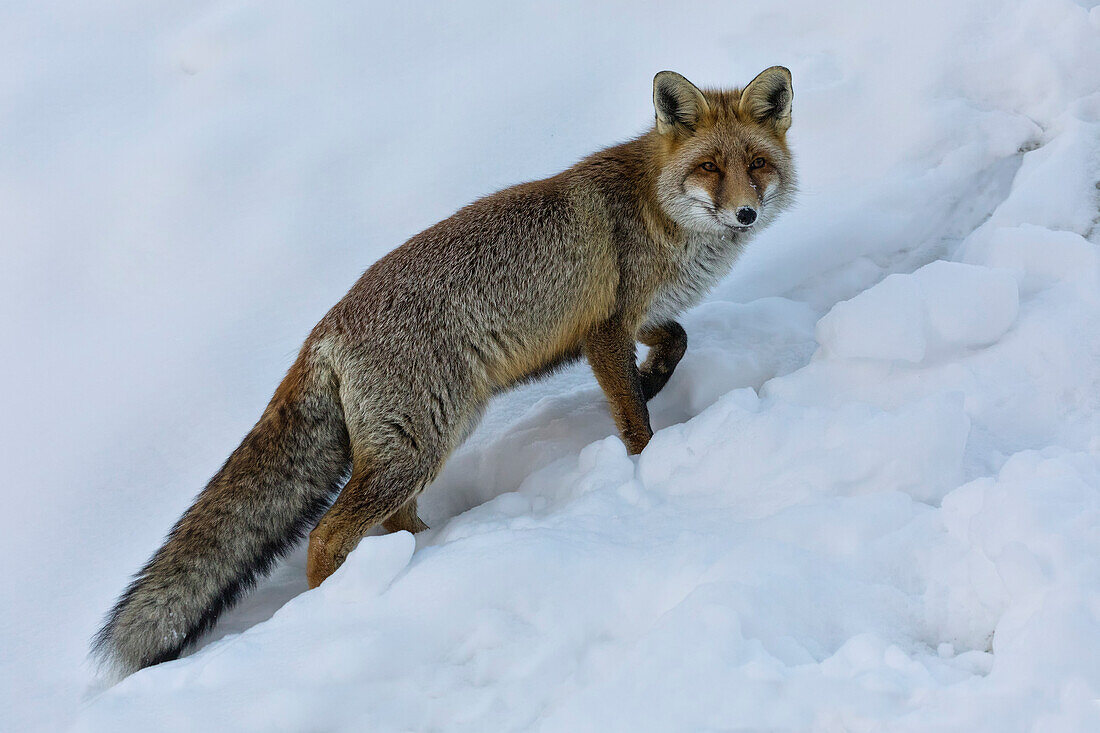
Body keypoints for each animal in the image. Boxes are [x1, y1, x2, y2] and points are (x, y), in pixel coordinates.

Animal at [94, 67, 796, 673]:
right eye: (709, 168)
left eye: (757, 165)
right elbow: (634, 421)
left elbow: (676, 339)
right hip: (418, 448)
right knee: (325, 536)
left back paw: (431, 555)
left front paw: (655, 379)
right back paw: (343, 605)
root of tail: (323, 331)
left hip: (422, 446)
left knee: (389, 523)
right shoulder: (604, 329)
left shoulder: (627, 319)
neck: (656, 210)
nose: (745, 214)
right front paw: (649, 465)